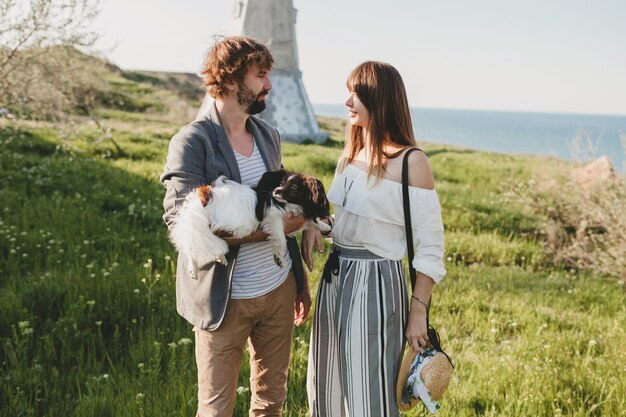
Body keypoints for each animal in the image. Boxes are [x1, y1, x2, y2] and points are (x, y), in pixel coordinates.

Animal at [166, 167, 332, 274]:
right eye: (281, 183)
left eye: (293, 188)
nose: (276, 190)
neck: (292, 204)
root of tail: (205, 194)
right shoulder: (272, 217)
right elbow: (280, 239)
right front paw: (278, 259)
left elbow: (312, 221)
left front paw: (325, 227)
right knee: (192, 245)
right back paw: (193, 268)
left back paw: (219, 257)